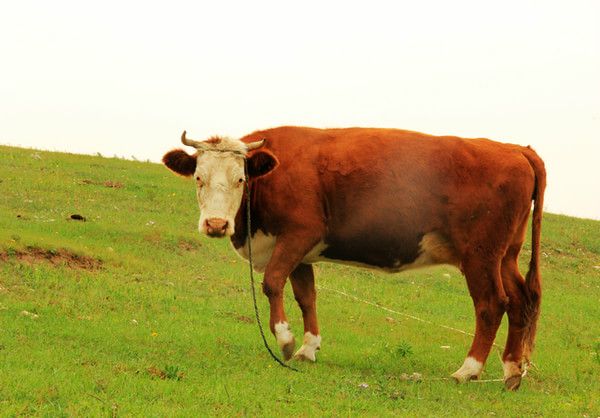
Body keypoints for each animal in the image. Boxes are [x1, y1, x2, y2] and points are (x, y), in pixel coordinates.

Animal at [162, 125, 548, 390]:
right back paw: (511, 370)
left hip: (481, 256)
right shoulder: (301, 251)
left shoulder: (299, 233)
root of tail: (515, 149)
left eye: (240, 179)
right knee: (521, 300)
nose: (215, 224)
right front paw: (308, 348)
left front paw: (285, 341)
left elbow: (272, 282)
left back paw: (468, 370)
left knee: (491, 305)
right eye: (198, 177)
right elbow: (306, 296)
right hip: (505, 255)